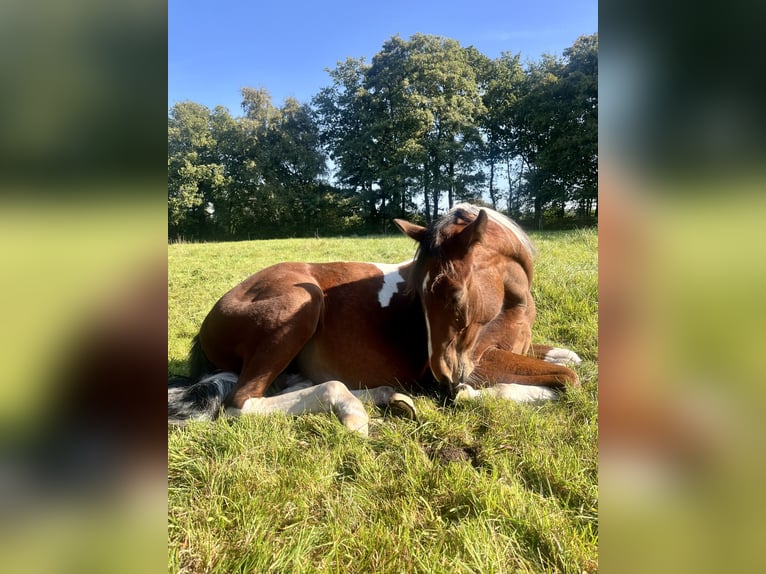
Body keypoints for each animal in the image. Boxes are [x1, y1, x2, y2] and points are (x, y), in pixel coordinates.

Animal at [168, 204, 581, 435]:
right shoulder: (480, 362)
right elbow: (568, 380)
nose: (444, 378)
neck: (511, 304)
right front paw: (480, 394)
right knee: (242, 404)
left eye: (454, 296)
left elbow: (565, 360)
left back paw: (387, 398)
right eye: (419, 295)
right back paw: (353, 412)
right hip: (302, 302)